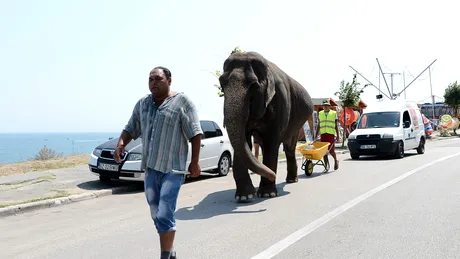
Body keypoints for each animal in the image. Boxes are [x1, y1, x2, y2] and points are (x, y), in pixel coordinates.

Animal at [218, 51, 312, 203]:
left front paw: (268, 194)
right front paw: (244, 197)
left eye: (253, 85)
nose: (273, 175)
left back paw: (292, 180)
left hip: (297, 125)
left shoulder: (280, 101)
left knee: (289, 147)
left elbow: (271, 143)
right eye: (221, 83)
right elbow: (244, 141)